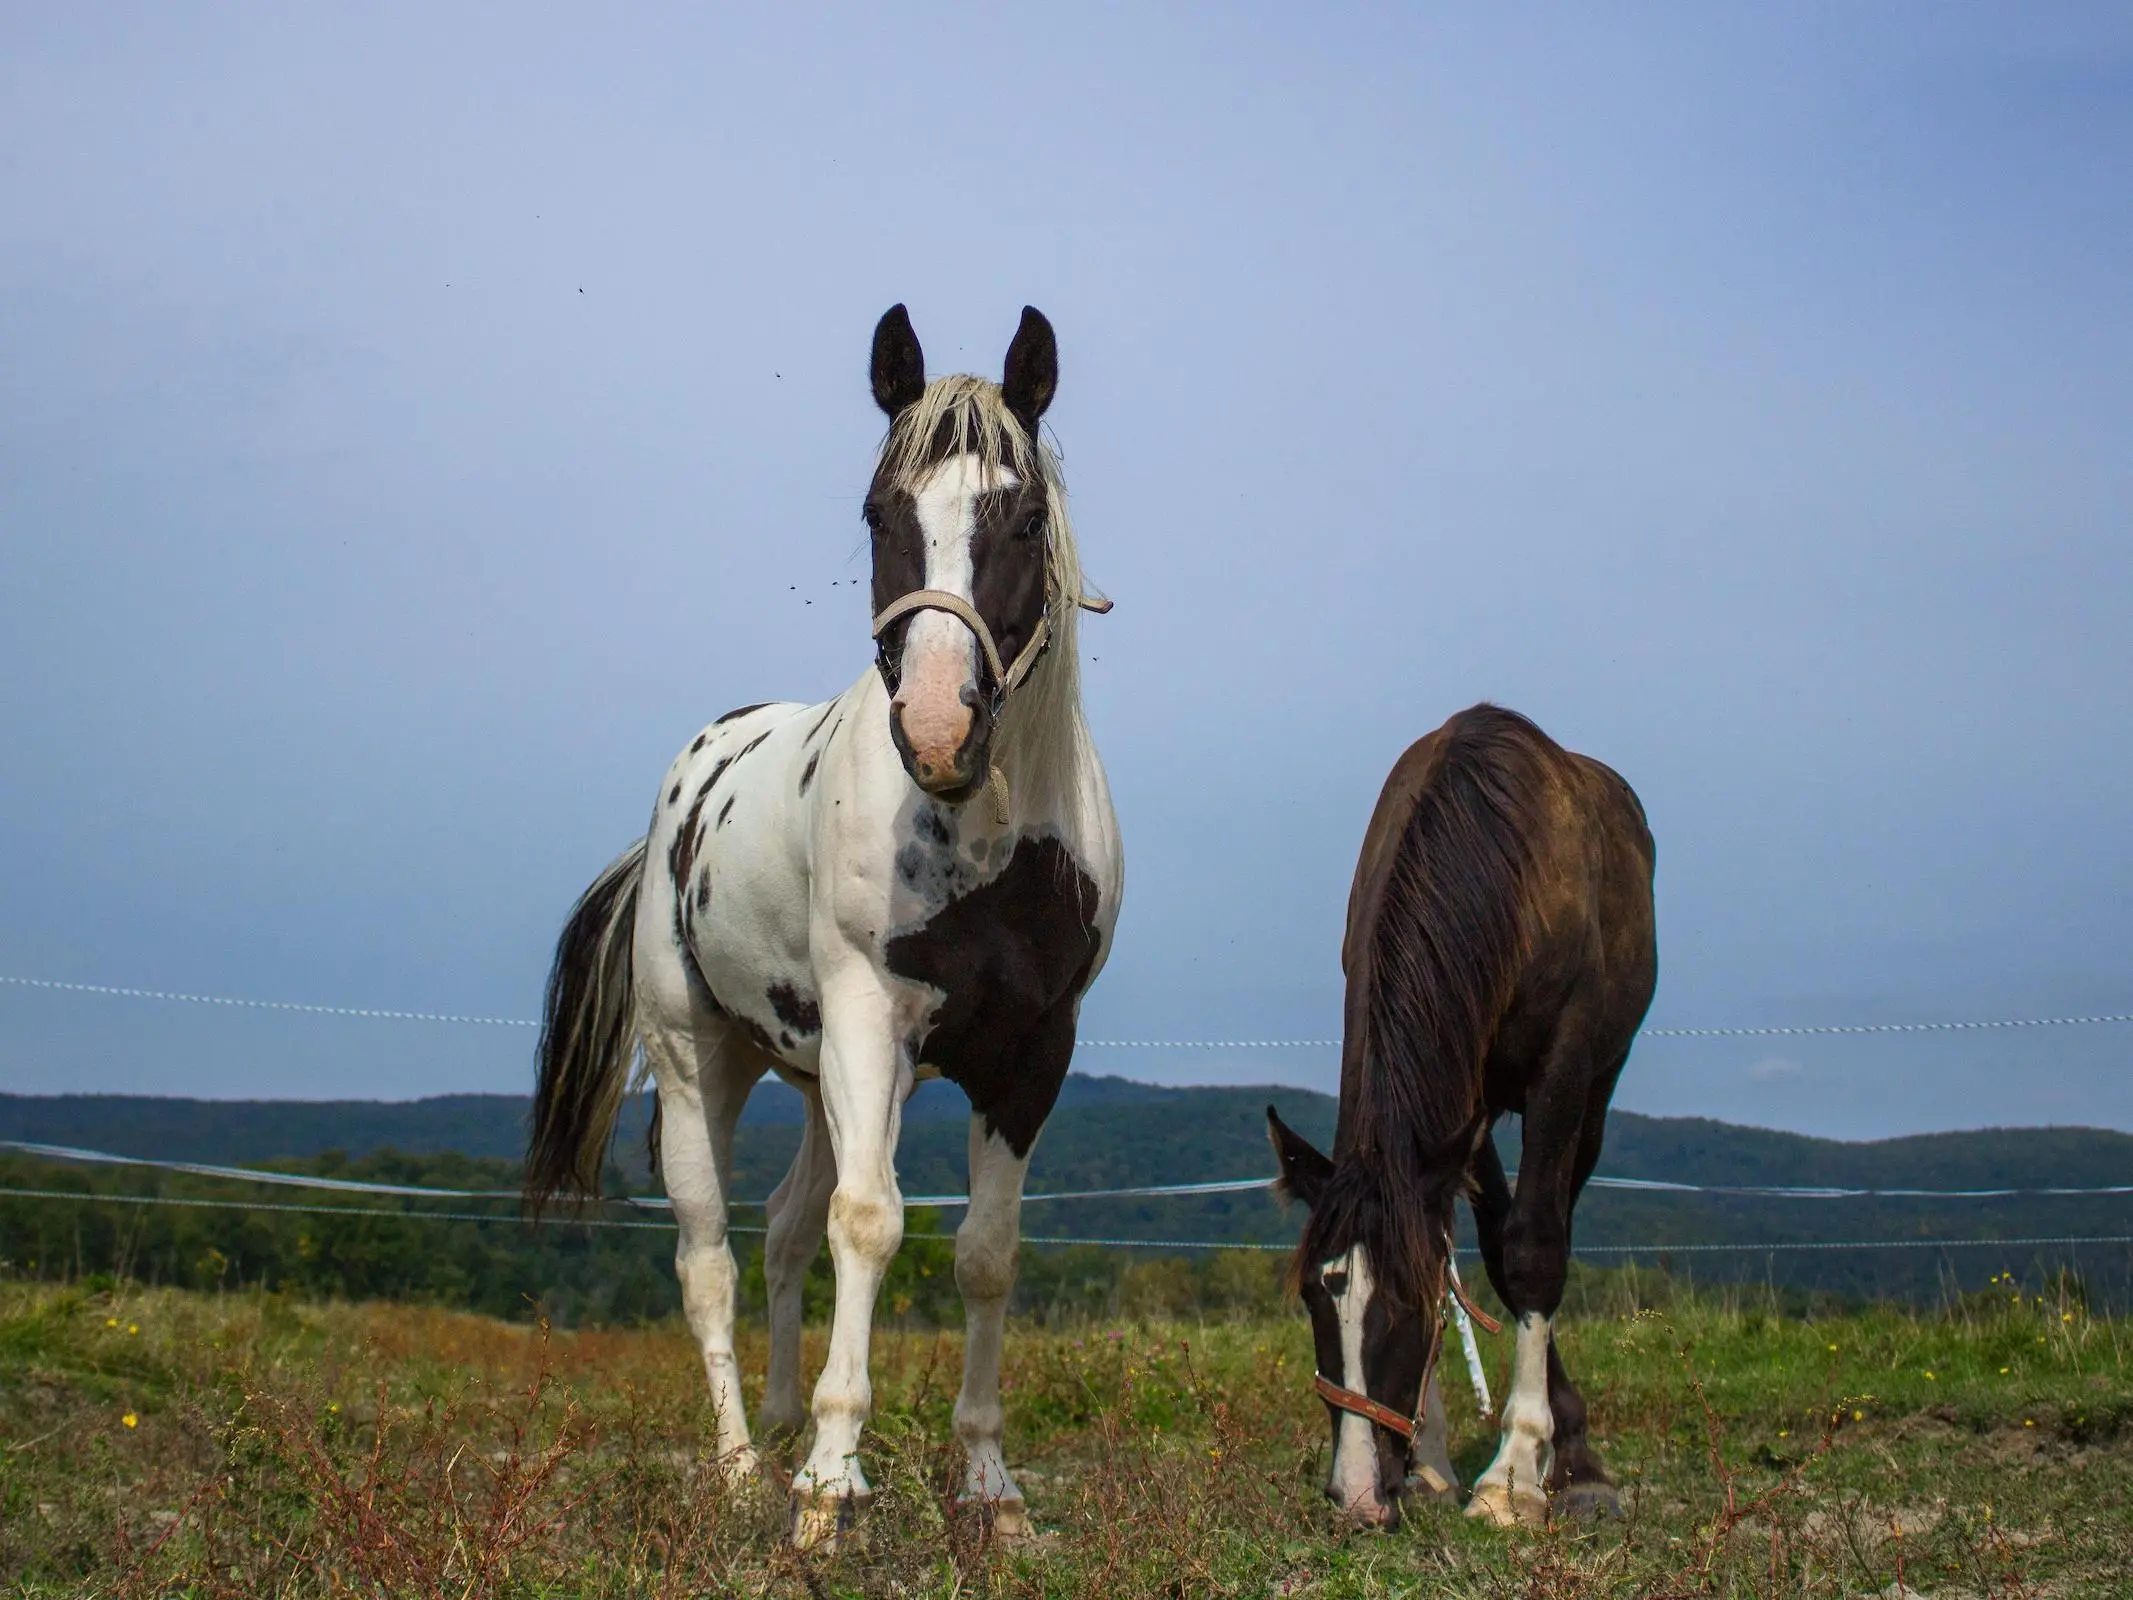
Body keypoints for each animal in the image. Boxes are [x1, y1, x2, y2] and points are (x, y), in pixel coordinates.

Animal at [526, 307, 1126, 1544]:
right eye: (878, 510)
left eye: (1024, 516)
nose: (939, 728)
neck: (989, 843)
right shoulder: (867, 1020)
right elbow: (872, 1222)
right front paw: (829, 1485)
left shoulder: (1031, 1052)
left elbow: (984, 1254)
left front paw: (988, 1483)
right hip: (706, 1062)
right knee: (711, 1255)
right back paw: (743, 1464)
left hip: (812, 1074)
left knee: (786, 1225)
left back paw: (785, 1419)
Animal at [1271, 708, 1655, 1536]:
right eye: (1315, 1297)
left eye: (1402, 1309)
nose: (1356, 1495)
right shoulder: (1456, 1100)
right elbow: (1463, 1247)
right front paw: (1430, 1463)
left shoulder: (1562, 1065)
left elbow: (1533, 1249)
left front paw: (1513, 1476)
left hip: (1596, 1087)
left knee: (1551, 1217)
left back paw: (1569, 1458)